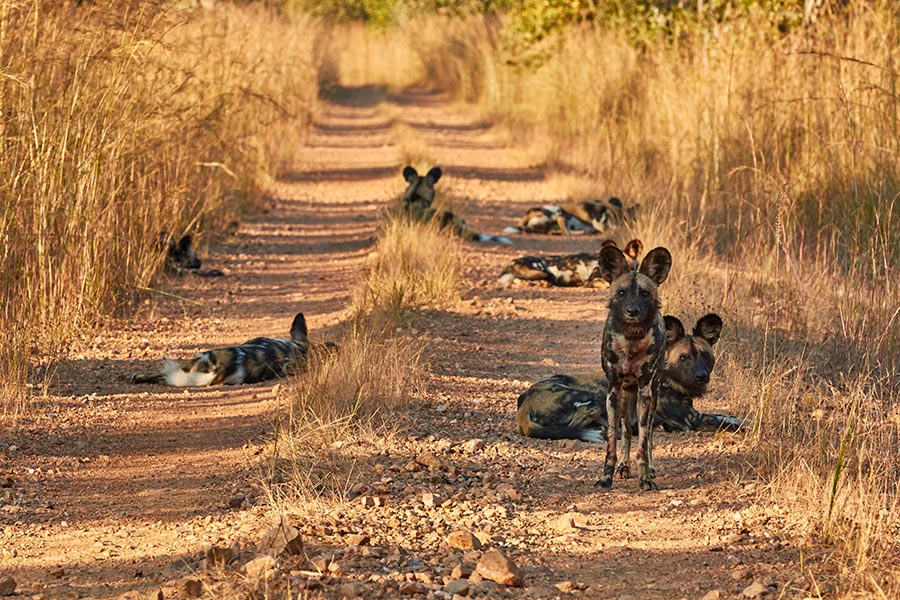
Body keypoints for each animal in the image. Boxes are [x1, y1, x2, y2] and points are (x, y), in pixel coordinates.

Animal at [512, 314, 744, 440]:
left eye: (705, 355)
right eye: (683, 358)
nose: (701, 376)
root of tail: (525, 401)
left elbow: (731, 417)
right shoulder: (691, 420)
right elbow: (729, 422)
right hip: (594, 398)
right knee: (573, 427)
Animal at [596, 244, 672, 492]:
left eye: (644, 294)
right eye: (621, 293)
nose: (632, 310)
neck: (630, 340)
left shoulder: (645, 391)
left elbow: (644, 441)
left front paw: (645, 478)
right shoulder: (613, 390)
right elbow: (612, 441)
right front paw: (606, 477)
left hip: (652, 394)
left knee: (647, 435)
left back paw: (650, 467)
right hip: (624, 396)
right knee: (627, 430)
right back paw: (623, 466)